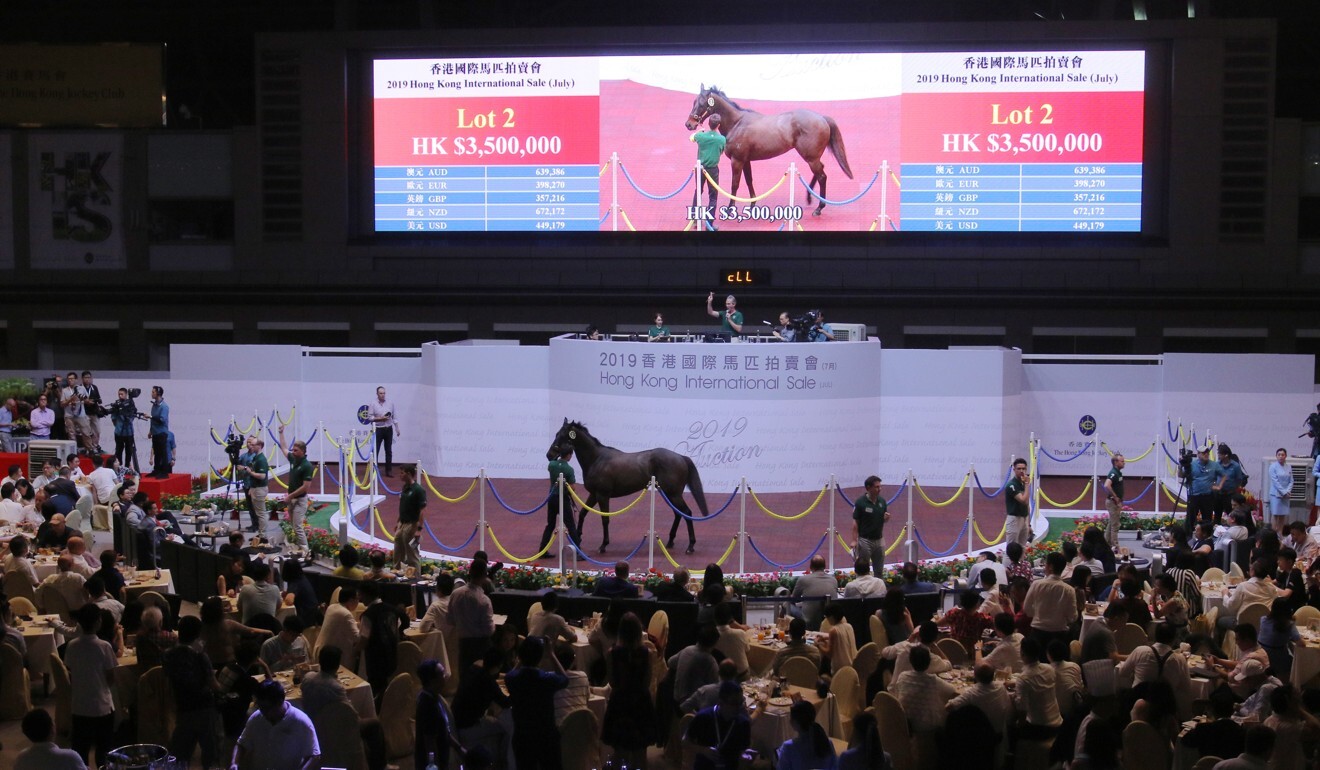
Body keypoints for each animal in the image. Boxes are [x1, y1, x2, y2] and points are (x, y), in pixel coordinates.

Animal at [546, 422, 712, 554]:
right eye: (556, 434)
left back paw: (690, 546)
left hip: (674, 494)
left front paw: (603, 545)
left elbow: (604, 519)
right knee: (678, 514)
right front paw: (579, 537)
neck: (596, 459)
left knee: (687, 513)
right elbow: (582, 513)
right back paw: (670, 542)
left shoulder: (602, 495)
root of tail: (681, 457)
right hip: (669, 494)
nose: (549, 455)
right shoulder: (593, 494)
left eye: (562, 436)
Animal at [681, 84, 855, 216]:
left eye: (702, 104)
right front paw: (752, 205)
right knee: (820, 173)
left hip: (811, 158)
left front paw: (730, 210)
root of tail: (821, 118)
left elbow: (734, 184)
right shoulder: (745, 161)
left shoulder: (737, 161)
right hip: (812, 157)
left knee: (822, 177)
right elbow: (749, 181)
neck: (736, 123)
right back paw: (810, 198)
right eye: (693, 101)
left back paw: (819, 208)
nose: (689, 124)